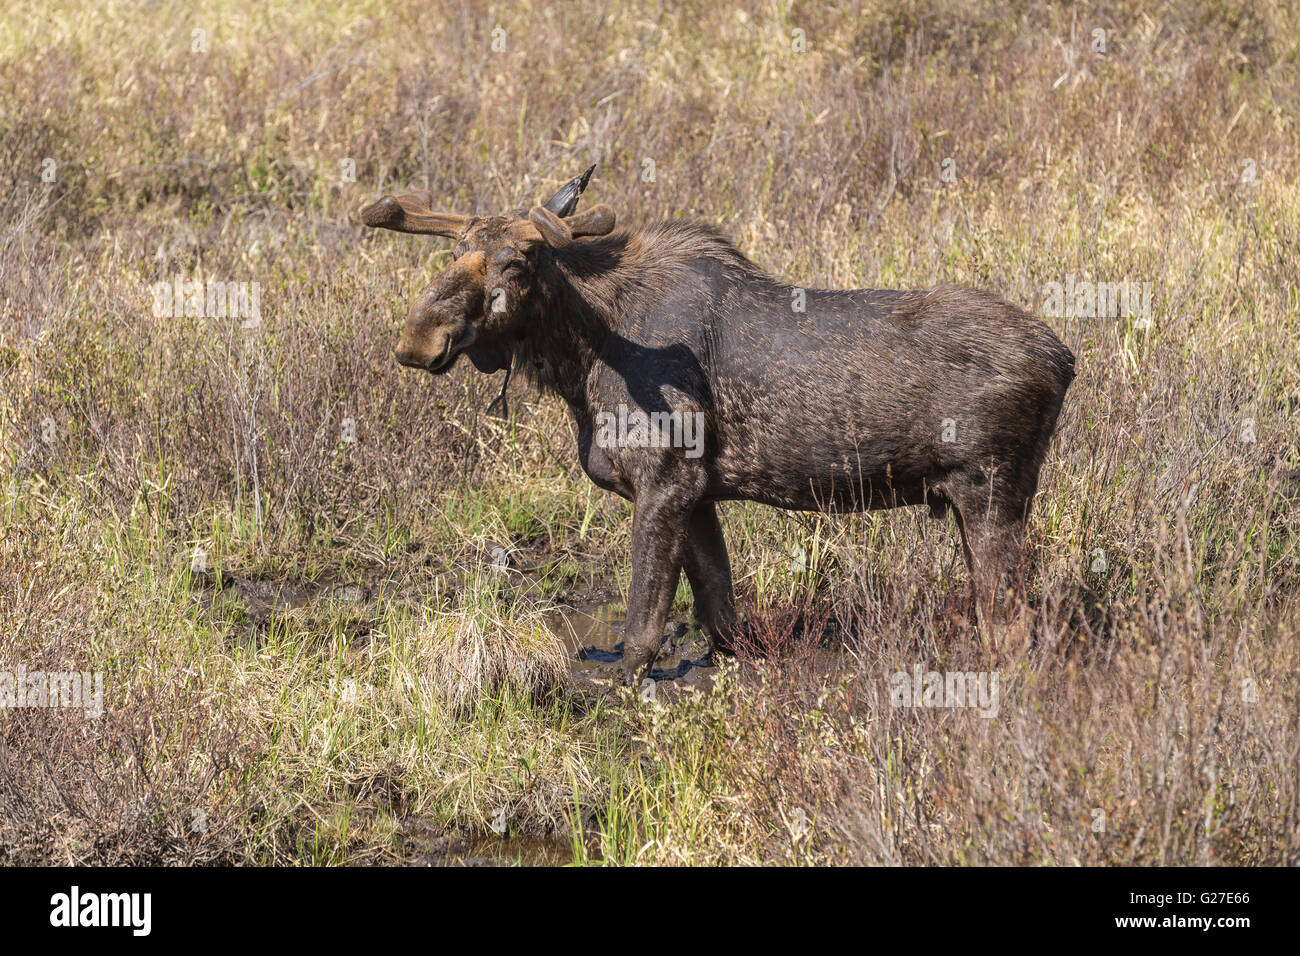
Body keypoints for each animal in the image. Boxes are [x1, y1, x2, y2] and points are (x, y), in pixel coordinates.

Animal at [358, 166, 1075, 682]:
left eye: (516, 263)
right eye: (456, 251)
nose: (420, 338)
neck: (580, 355)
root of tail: (1065, 359)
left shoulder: (664, 479)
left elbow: (643, 620)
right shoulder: (698, 493)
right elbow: (721, 613)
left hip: (992, 491)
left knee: (1015, 629)